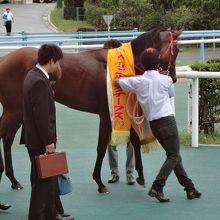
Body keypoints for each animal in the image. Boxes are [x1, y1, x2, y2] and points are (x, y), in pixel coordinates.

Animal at [0, 27, 180, 192]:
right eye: (176, 51)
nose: (174, 78)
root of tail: (4, 60)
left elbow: (134, 141)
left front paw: (140, 176)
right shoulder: (106, 115)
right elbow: (101, 147)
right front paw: (99, 182)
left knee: (7, 137)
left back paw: (12, 178)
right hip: (15, 110)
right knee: (7, 137)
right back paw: (12, 178)